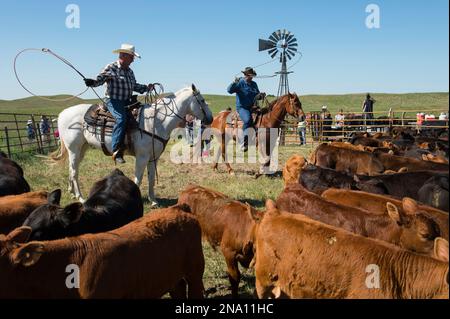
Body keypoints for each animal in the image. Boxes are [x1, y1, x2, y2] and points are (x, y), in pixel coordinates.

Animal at [51, 84, 214, 206]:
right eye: (202, 100)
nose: (211, 119)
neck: (156, 121)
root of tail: (62, 113)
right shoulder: (142, 157)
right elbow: (138, 179)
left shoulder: (152, 158)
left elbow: (151, 178)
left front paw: (153, 201)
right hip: (74, 148)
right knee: (74, 172)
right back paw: (80, 197)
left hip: (81, 149)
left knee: (72, 169)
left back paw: (72, 192)